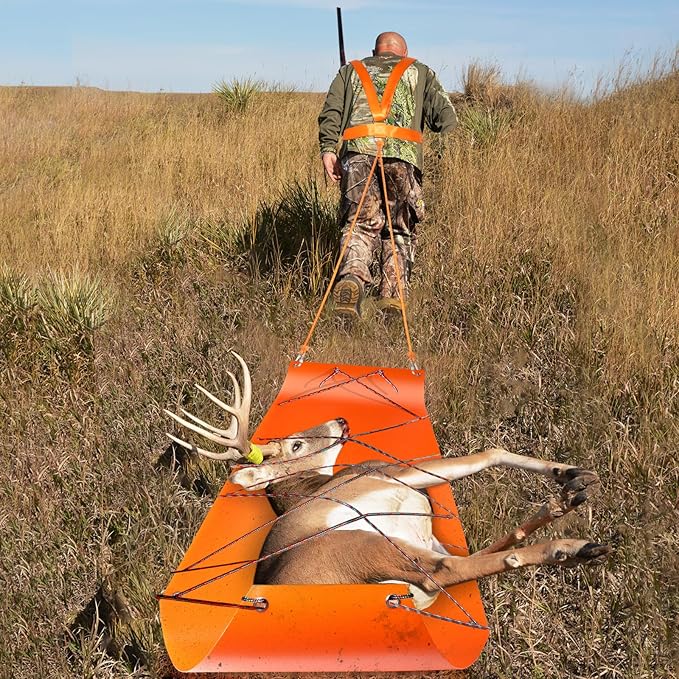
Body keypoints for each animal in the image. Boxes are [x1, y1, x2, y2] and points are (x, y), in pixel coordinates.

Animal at [165, 353, 611, 610]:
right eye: (295, 443)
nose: (341, 420)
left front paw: (569, 490)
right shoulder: (389, 471)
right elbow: (487, 453)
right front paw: (572, 474)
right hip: (363, 543)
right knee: (446, 569)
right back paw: (576, 547)